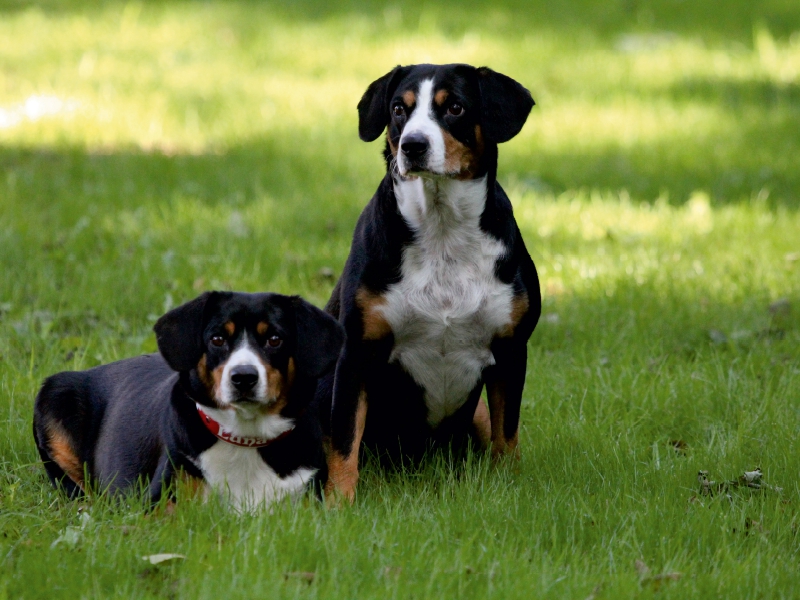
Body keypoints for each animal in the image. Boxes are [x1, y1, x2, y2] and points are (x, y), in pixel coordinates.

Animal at [32, 290, 344, 510]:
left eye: (275, 339)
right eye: (217, 339)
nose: (243, 377)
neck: (246, 437)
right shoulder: (162, 499)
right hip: (55, 394)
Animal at [320, 63, 544, 502]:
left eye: (454, 107)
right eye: (398, 109)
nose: (413, 145)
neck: (442, 234)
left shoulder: (511, 349)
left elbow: (507, 433)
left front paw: (508, 486)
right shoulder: (355, 353)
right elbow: (344, 438)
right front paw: (339, 503)